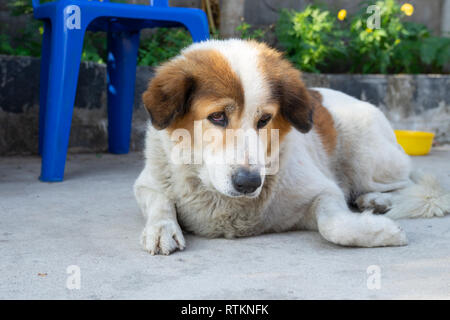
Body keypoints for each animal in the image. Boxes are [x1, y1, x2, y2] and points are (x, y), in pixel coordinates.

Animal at [134, 39, 450, 255]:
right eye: (217, 117)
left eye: (265, 119)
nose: (249, 183)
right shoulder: (146, 184)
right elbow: (160, 200)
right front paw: (162, 228)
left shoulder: (323, 191)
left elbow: (333, 225)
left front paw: (380, 232)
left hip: (366, 158)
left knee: (409, 185)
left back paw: (380, 201)